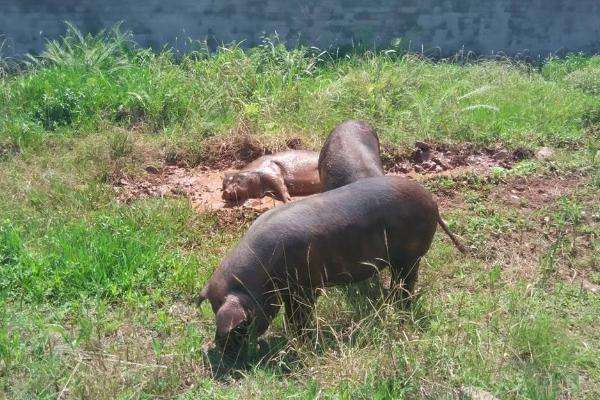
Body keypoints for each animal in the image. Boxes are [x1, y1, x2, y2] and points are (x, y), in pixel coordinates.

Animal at [199, 175, 466, 354]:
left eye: (241, 324)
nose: (220, 350)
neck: (260, 277)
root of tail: (433, 201)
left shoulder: (306, 285)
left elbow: (300, 314)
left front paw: (300, 339)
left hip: (410, 256)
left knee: (407, 282)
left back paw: (399, 309)